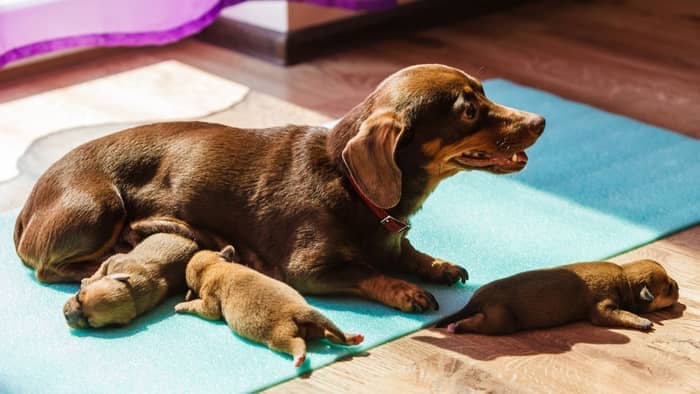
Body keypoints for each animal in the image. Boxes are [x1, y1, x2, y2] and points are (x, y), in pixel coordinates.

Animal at [13, 63, 544, 312]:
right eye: (468, 110)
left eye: (485, 91)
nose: (540, 120)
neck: (349, 186)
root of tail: (26, 209)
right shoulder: (308, 270)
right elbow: (367, 271)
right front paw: (404, 290)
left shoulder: (394, 239)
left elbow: (407, 254)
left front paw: (435, 266)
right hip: (99, 207)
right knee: (47, 269)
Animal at [62, 232, 197, 328]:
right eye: (79, 297)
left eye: (90, 322)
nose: (66, 316)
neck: (132, 290)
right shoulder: (113, 260)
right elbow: (101, 270)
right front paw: (89, 280)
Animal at [174, 246, 364, 366]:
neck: (214, 266)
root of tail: (298, 309)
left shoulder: (210, 299)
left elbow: (204, 308)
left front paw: (182, 305)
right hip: (313, 327)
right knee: (328, 334)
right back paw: (351, 338)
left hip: (279, 336)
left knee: (297, 343)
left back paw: (299, 357)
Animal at [442, 258, 680, 336]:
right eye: (668, 289)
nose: (677, 285)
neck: (625, 279)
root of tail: (476, 298)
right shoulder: (602, 308)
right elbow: (620, 313)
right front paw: (643, 321)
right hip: (501, 320)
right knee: (478, 324)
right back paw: (457, 326)